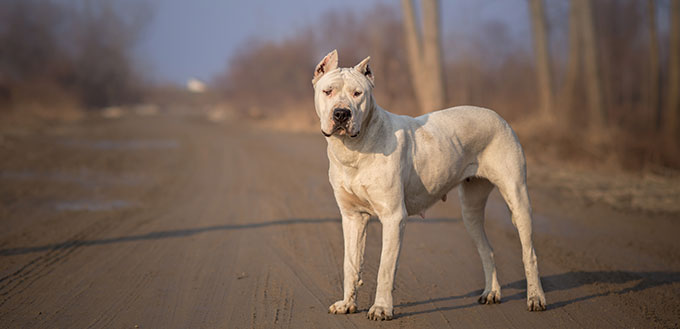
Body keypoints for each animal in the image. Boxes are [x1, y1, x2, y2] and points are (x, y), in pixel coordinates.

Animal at [314, 50, 548, 320]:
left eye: (357, 94)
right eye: (328, 91)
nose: (341, 114)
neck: (354, 148)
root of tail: (498, 116)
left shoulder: (394, 217)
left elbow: (385, 268)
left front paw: (381, 308)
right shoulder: (353, 217)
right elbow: (350, 264)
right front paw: (347, 303)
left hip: (518, 199)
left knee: (529, 253)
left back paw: (535, 297)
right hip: (471, 211)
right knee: (486, 248)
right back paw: (492, 292)